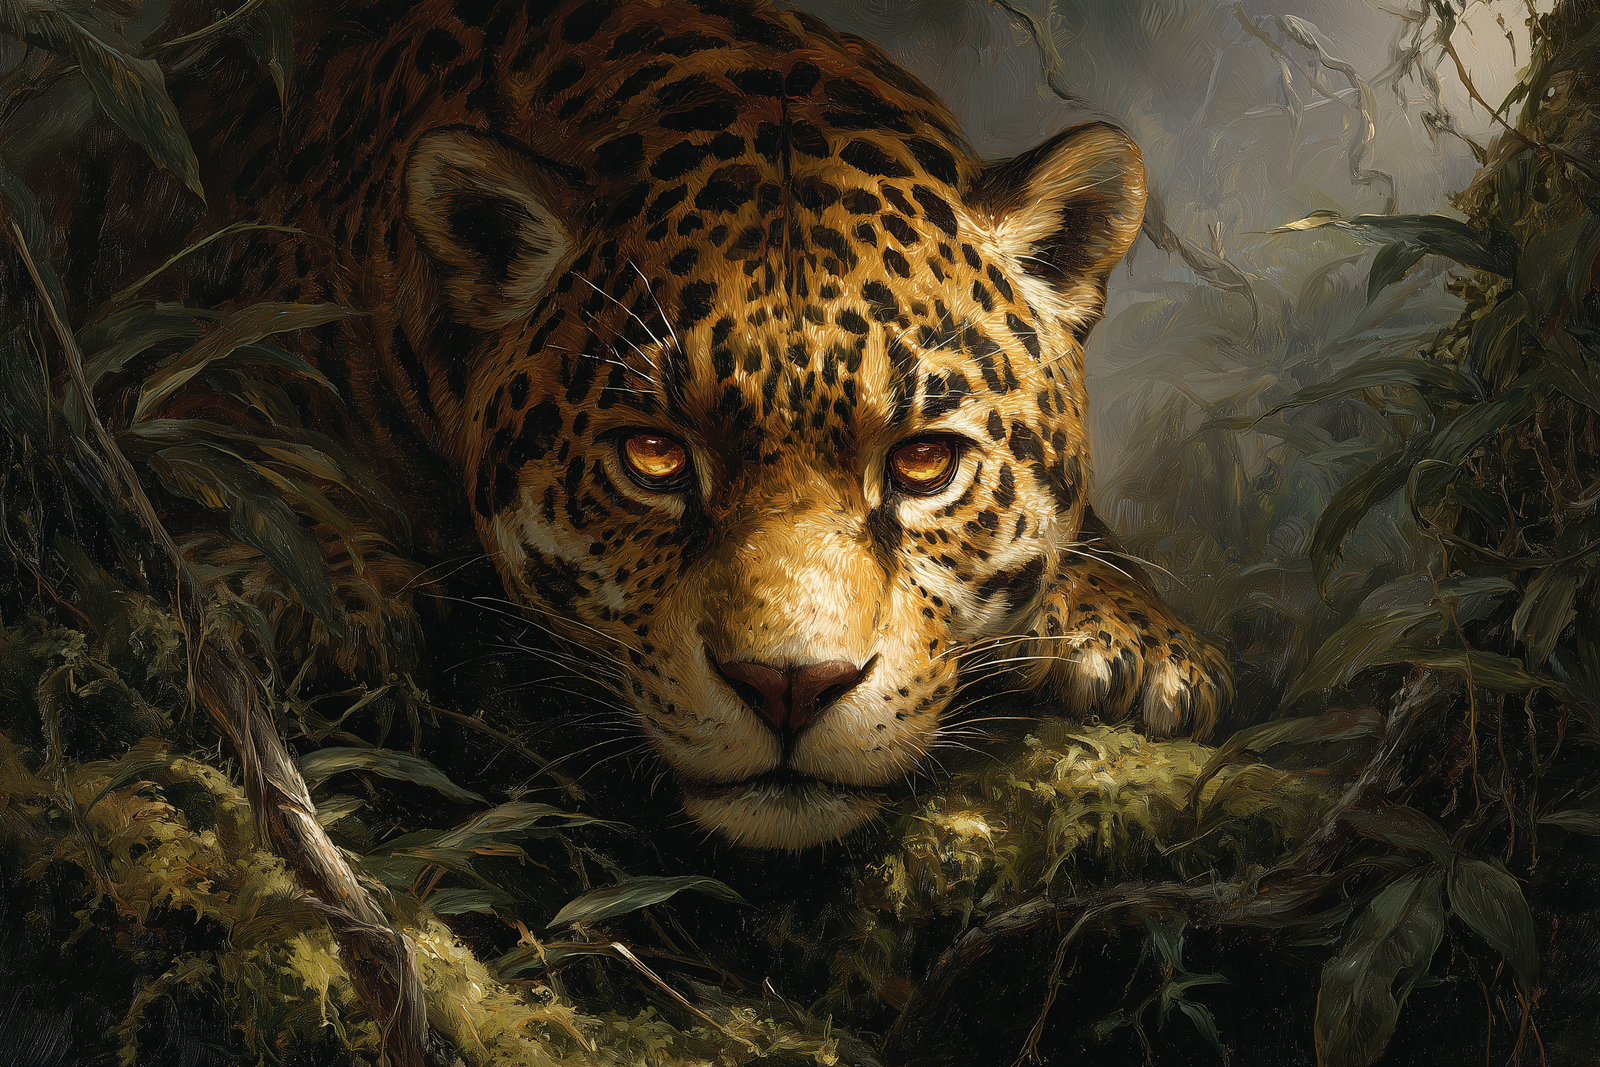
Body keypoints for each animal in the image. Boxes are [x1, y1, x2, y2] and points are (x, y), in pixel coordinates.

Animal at [31, 0, 1231, 851]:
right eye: (654, 457)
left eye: (925, 463)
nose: (788, 687)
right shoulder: (183, 336)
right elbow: (214, 444)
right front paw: (325, 592)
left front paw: (1135, 639)